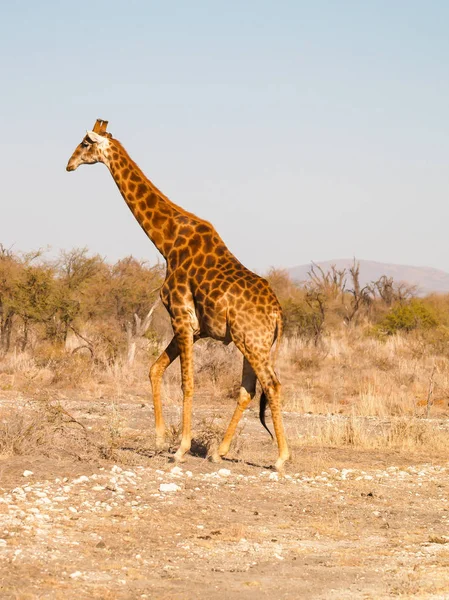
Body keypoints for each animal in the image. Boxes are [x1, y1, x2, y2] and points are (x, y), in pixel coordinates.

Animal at [66, 118, 290, 474]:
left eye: (85, 143)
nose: (69, 164)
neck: (167, 242)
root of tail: (277, 313)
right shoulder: (194, 328)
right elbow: (154, 369)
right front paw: (159, 439)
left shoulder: (182, 317)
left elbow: (187, 382)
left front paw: (180, 449)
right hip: (250, 342)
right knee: (247, 390)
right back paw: (218, 452)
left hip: (252, 341)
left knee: (272, 385)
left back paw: (280, 458)